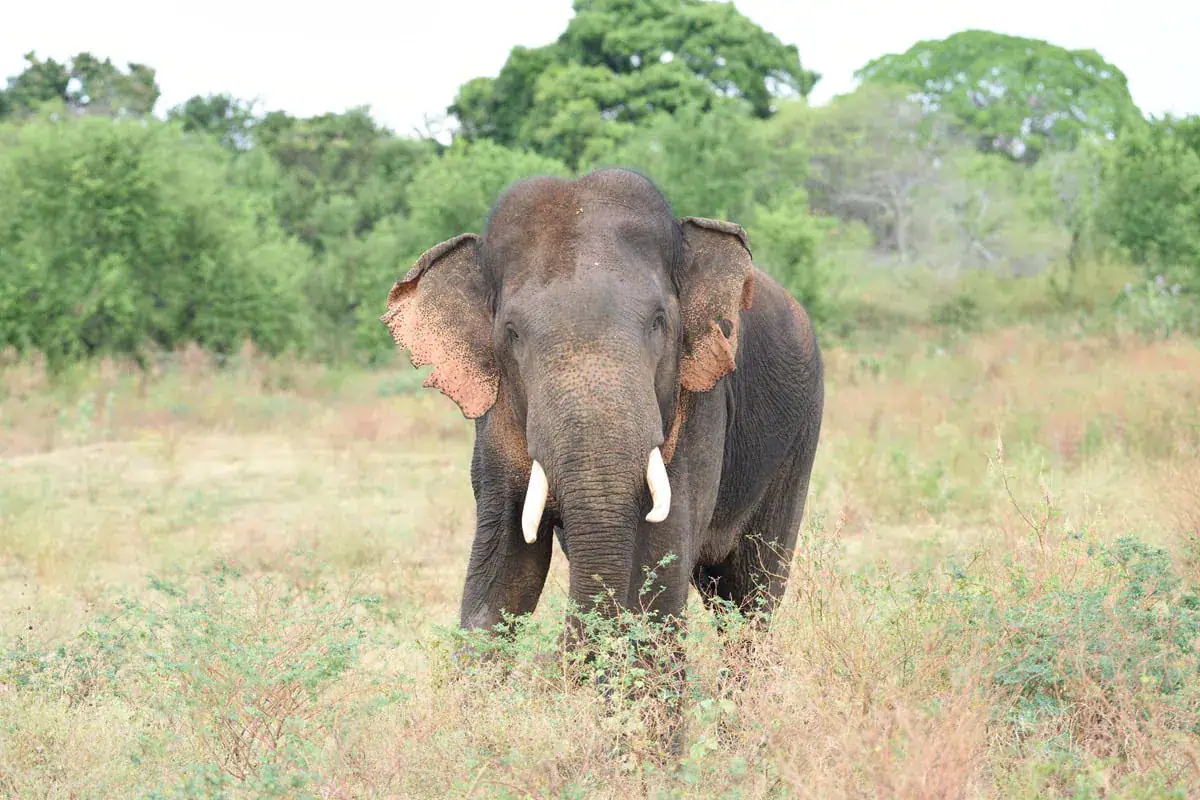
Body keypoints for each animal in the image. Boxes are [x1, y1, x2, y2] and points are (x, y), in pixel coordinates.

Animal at [381, 167, 824, 678]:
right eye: (512, 334)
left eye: (658, 322)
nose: (555, 664)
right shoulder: (496, 414)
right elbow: (505, 565)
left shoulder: (700, 399)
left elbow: (661, 554)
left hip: (799, 436)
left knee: (751, 594)